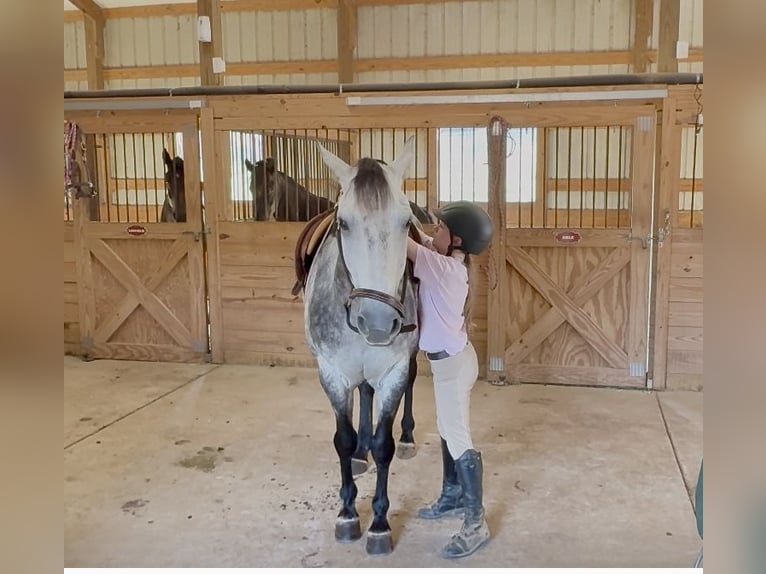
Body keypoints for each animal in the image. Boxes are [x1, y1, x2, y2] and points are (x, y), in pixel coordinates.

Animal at [304, 137, 420, 555]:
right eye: (343, 223)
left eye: (406, 222)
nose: (379, 322)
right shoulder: (332, 373)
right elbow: (343, 438)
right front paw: (348, 513)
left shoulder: (393, 371)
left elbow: (384, 446)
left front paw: (380, 524)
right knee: (364, 394)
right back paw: (359, 452)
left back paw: (407, 437)